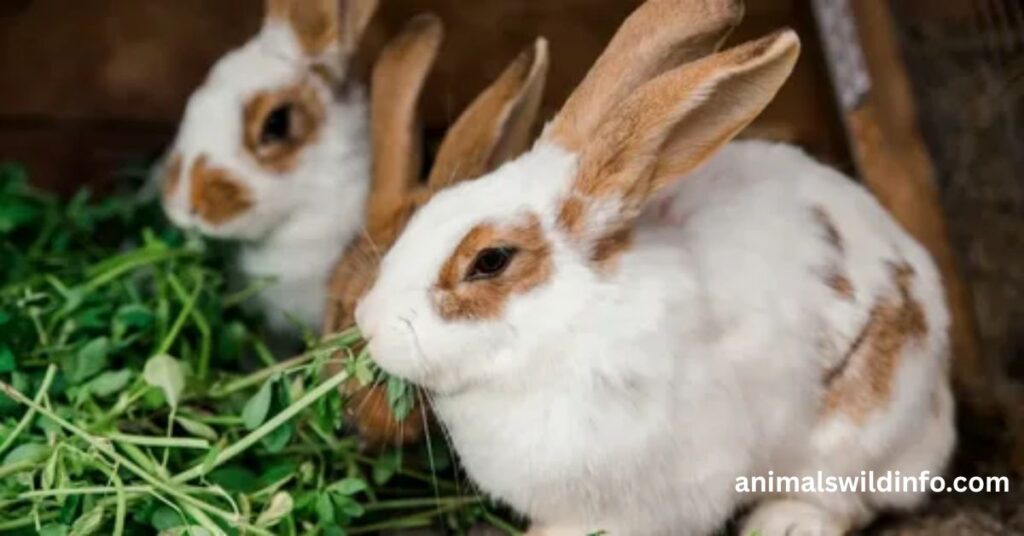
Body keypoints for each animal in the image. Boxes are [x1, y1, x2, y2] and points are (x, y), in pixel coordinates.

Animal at [353, 0, 955, 534]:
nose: (368, 322)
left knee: (850, 496)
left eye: (490, 261)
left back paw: (785, 523)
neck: (563, 326)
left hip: (855, 432)